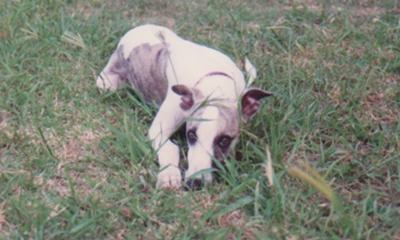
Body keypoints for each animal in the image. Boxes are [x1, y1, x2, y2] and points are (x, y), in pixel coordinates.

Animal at [97, 23, 272, 189]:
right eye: (191, 135)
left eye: (224, 140)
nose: (195, 183)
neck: (214, 82)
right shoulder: (159, 129)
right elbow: (170, 148)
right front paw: (168, 175)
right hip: (106, 84)